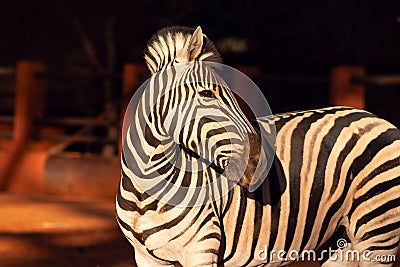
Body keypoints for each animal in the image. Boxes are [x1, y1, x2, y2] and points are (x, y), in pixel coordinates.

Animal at [116, 25, 400, 267]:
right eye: (207, 94)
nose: (259, 160)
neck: (146, 194)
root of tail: (376, 118)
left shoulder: (202, 249)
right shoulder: (146, 257)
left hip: (378, 234)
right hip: (342, 241)